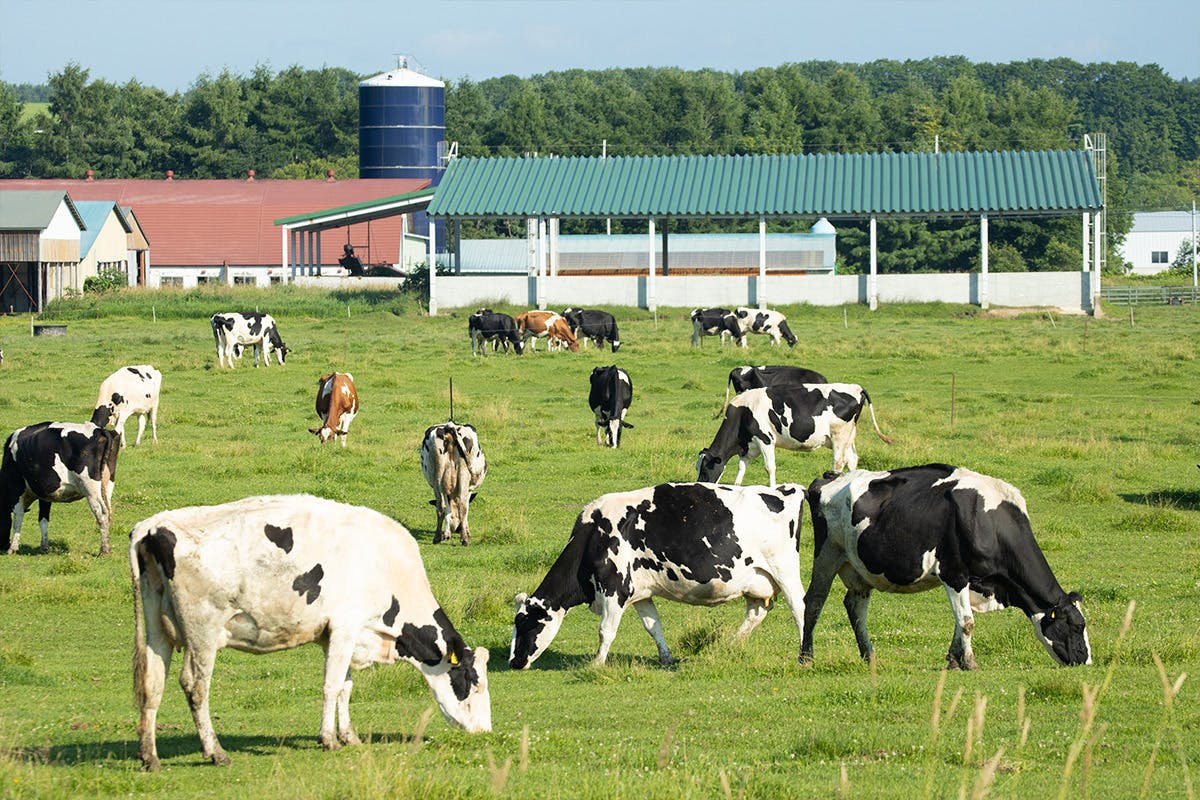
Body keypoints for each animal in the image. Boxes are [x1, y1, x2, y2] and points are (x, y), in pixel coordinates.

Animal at [1, 421, 120, 555]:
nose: (4, 546)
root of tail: (98, 429)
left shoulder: (16, 489)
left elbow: (18, 517)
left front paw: (12, 548)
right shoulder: (44, 494)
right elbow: (43, 519)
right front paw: (44, 547)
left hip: (90, 488)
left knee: (102, 514)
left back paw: (104, 550)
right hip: (107, 486)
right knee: (108, 512)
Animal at [130, 495, 492, 770]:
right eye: (473, 684)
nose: (485, 731)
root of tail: (152, 526)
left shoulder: (340, 634)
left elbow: (345, 686)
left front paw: (349, 736)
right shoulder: (345, 626)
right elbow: (332, 686)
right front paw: (328, 739)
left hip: (157, 627)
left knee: (152, 684)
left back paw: (150, 757)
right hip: (202, 631)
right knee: (195, 686)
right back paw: (215, 752)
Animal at [509, 482, 807, 669]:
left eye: (526, 624)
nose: (514, 662)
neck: (593, 536)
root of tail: (784, 489)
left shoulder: (615, 588)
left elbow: (606, 630)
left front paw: (596, 663)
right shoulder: (640, 593)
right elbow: (653, 626)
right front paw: (666, 658)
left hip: (784, 570)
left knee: (800, 608)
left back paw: (804, 655)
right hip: (757, 581)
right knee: (756, 613)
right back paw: (728, 647)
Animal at [696, 383, 892, 488]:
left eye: (705, 469)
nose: (699, 484)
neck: (743, 411)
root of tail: (855, 387)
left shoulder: (765, 439)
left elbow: (769, 467)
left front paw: (772, 487)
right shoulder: (748, 446)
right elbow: (742, 467)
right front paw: (737, 487)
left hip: (839, 435)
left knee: (838, 462)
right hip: (849, 436)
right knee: (852, 460)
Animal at [802, 465, 1092, 670]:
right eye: (1076, 626)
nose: (1086, 661)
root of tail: (830, 477)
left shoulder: (971, 581)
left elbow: (959, 621)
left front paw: (954, 660)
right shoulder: (954, 574)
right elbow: (967, 622)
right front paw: (970, 663)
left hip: (860, 568)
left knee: (855, 607)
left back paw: (870, 656)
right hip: (827, 554)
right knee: (814, 601)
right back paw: (806, 657)